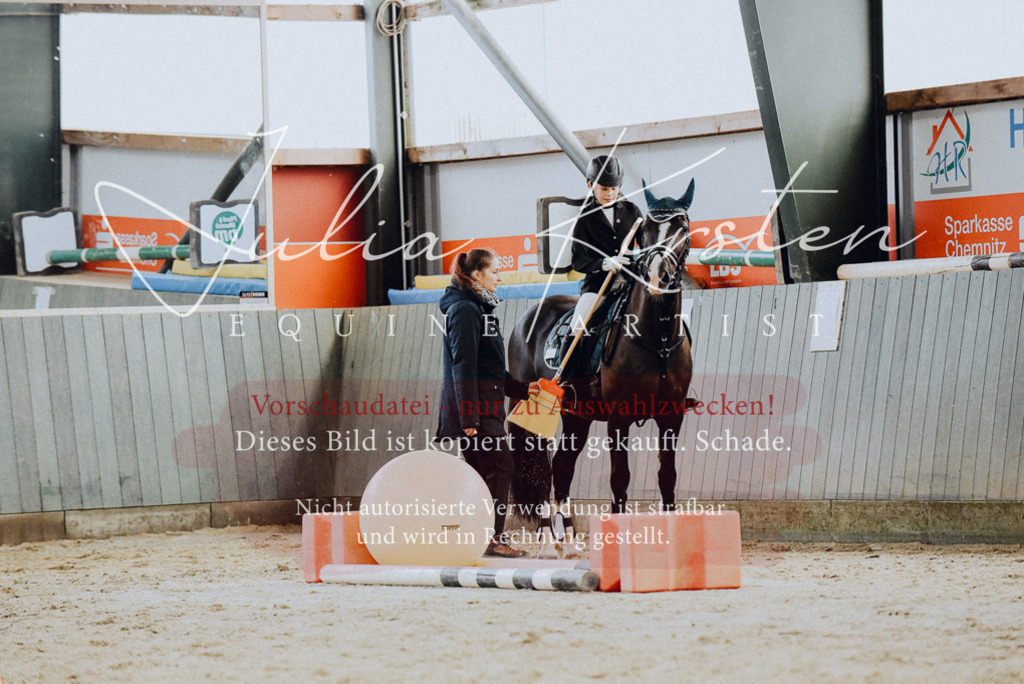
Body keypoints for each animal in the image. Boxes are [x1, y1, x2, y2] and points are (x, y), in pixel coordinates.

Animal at [507, 179, 699, 519]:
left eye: (683, 228)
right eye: (646, 229)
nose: (657, 276)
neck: (657, 340)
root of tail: (526, 317)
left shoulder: (671, 416)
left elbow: (667, 477)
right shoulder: (618, 418)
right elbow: (620, 479)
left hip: (576, 416)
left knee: (562, 467)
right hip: (529, 403)